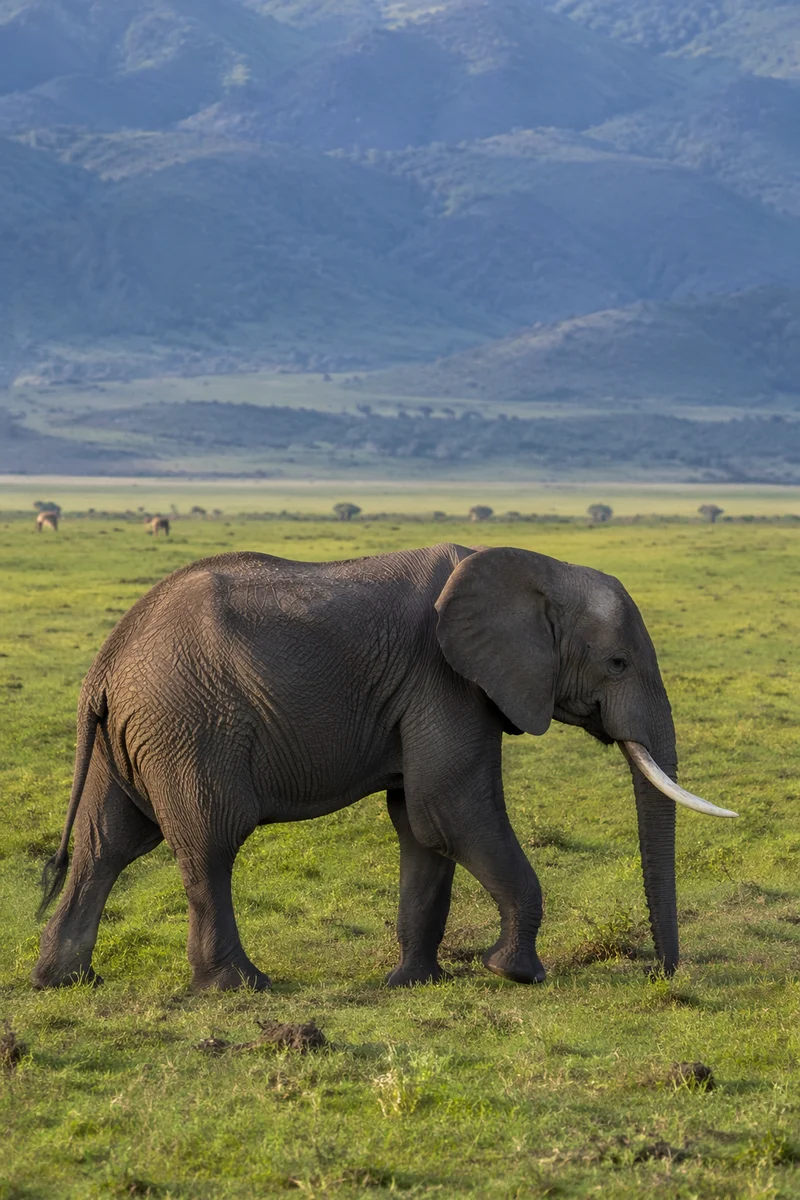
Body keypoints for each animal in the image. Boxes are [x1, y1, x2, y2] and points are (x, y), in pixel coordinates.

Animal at [33, 544, 735, 992]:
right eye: (617, 663)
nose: (660, 973)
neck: (540, 568)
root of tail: (105, 664)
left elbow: (420, 826)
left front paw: (414, 983)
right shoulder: (445, 680)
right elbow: (451, 809)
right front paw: (517, 974)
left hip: (133, 737)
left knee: (105, 845)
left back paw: (65, 981)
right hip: (189, 726)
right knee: (210, 843)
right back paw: (240, 987)